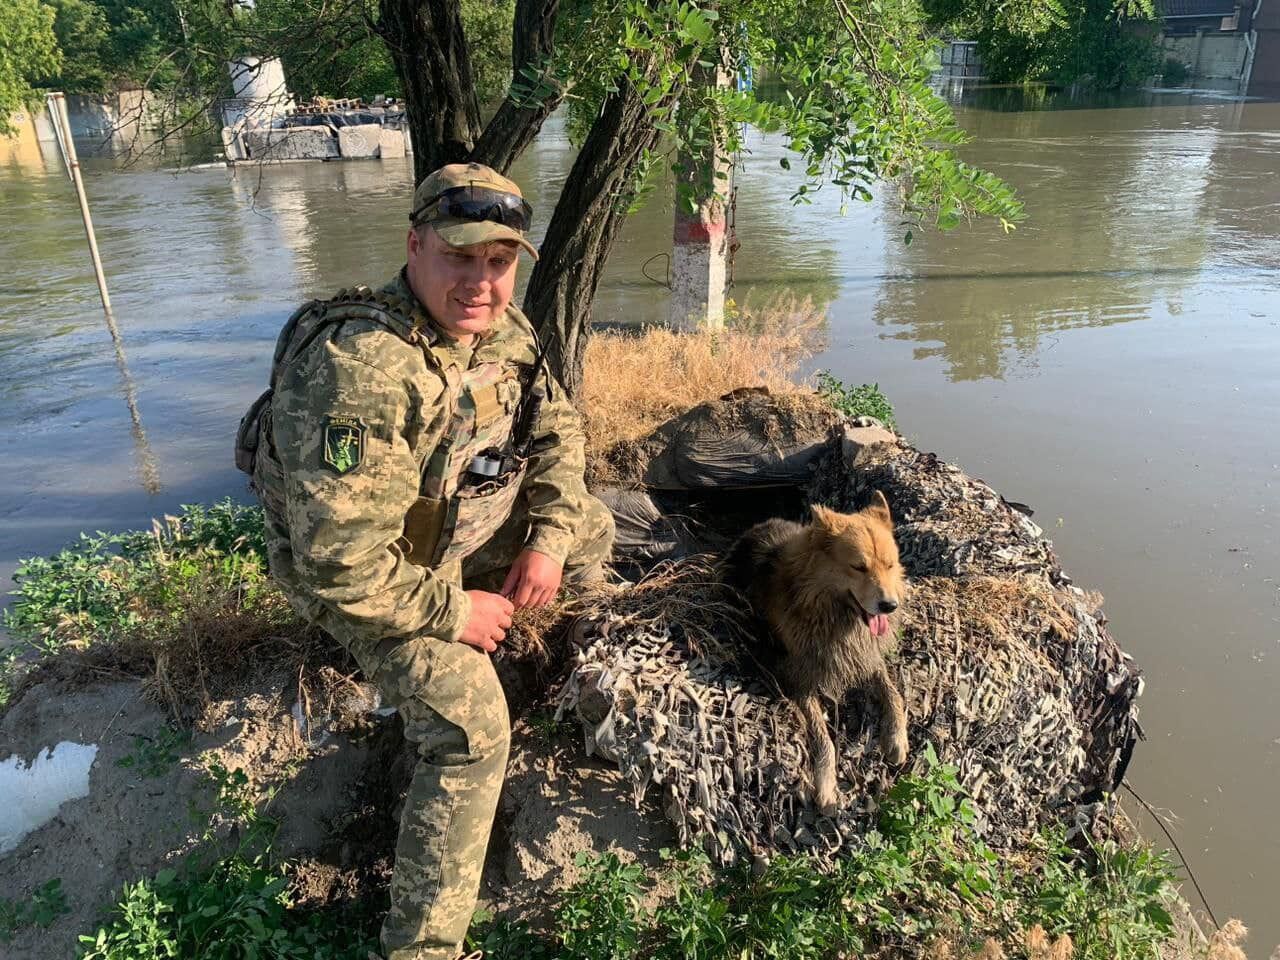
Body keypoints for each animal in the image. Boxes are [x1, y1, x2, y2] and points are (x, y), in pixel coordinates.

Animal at [721, 496, 911, 819]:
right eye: (858, 567)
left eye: (889, 565)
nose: (889, 606)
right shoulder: (800, 680)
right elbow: (823, 739)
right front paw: (826, 786)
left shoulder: (864, 656)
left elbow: (893, 692)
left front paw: (897, 738)